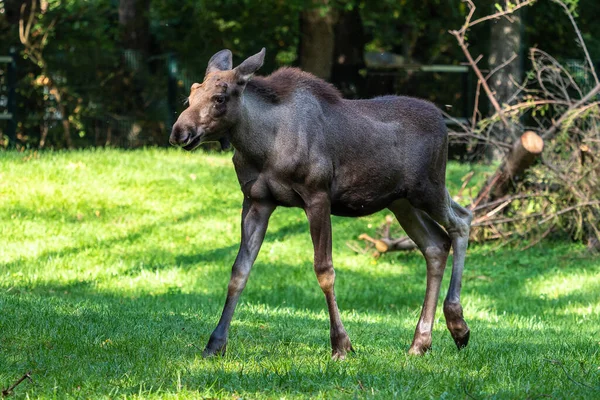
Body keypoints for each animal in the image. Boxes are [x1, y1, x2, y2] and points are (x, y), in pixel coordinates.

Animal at [170, 47, 474, 360]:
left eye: (220, 97)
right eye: (191, 93)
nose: (180, 131)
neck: (261, 147)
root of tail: (444, 124)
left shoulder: (317, 196)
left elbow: (324, 270)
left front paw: (341, 344)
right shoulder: (256, 201)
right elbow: (239, 271)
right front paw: (215, 343)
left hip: (429, 187)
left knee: (462, 220)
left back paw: (458, 325)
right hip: (402, 202)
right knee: (435, 244)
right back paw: (421, 341)